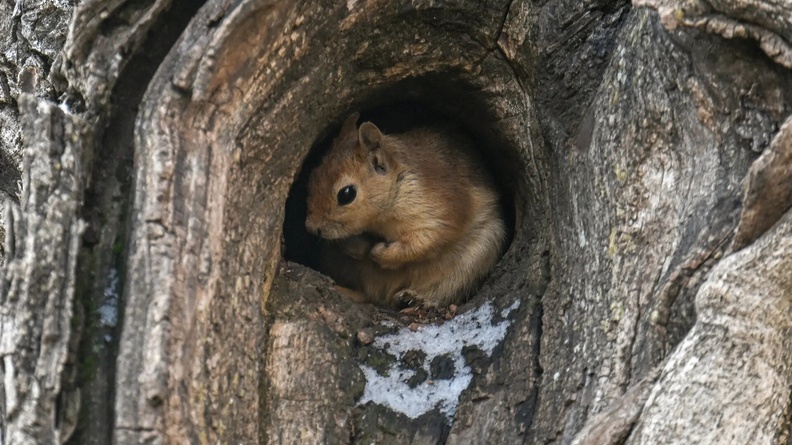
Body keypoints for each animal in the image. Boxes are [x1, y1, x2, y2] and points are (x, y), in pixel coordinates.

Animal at [305, 112, 506, 308]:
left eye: (346, 194)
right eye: (313, 175)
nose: (311, 227)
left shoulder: (439, 209)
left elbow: (426, 240)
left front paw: (380, 253)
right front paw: (359, 247)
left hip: (474, 259)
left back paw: (417, 299)